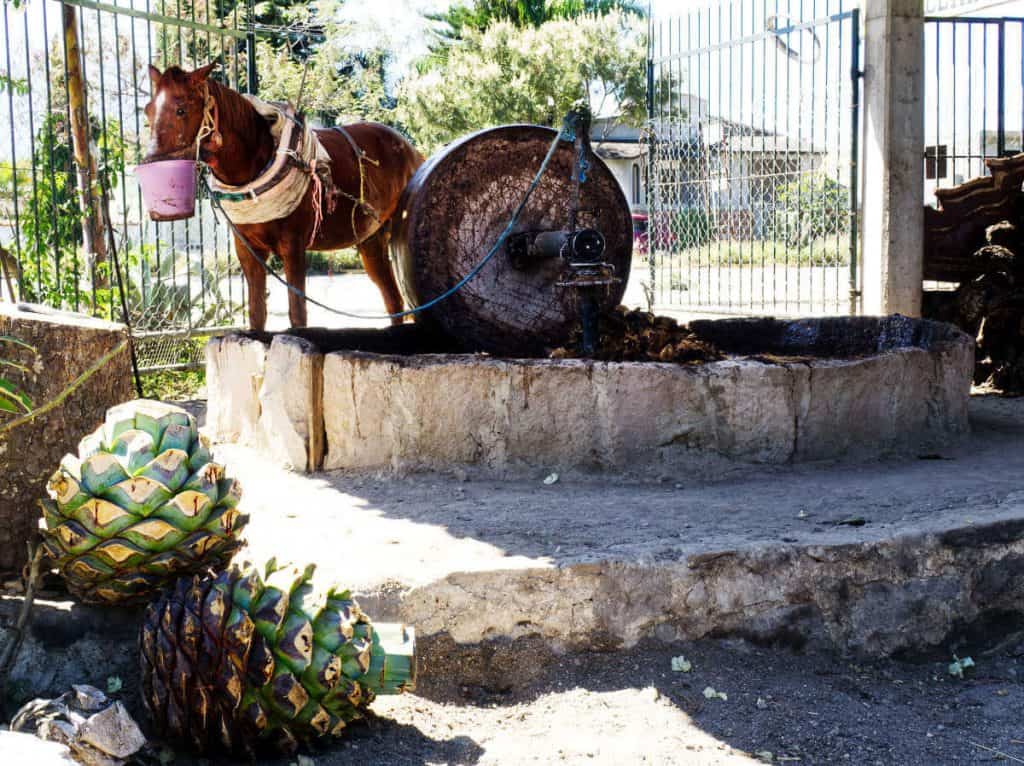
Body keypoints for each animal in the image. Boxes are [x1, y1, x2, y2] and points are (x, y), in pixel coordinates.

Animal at [142, 63, 421, 329]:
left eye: (181, 110)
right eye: (148, 111)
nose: (150, 162)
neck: (257, 163)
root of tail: (411, 150)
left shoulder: (293, 247)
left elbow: (298, 314)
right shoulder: (248, 250)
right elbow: (256, 314)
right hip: (371, 240)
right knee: (394, 301)